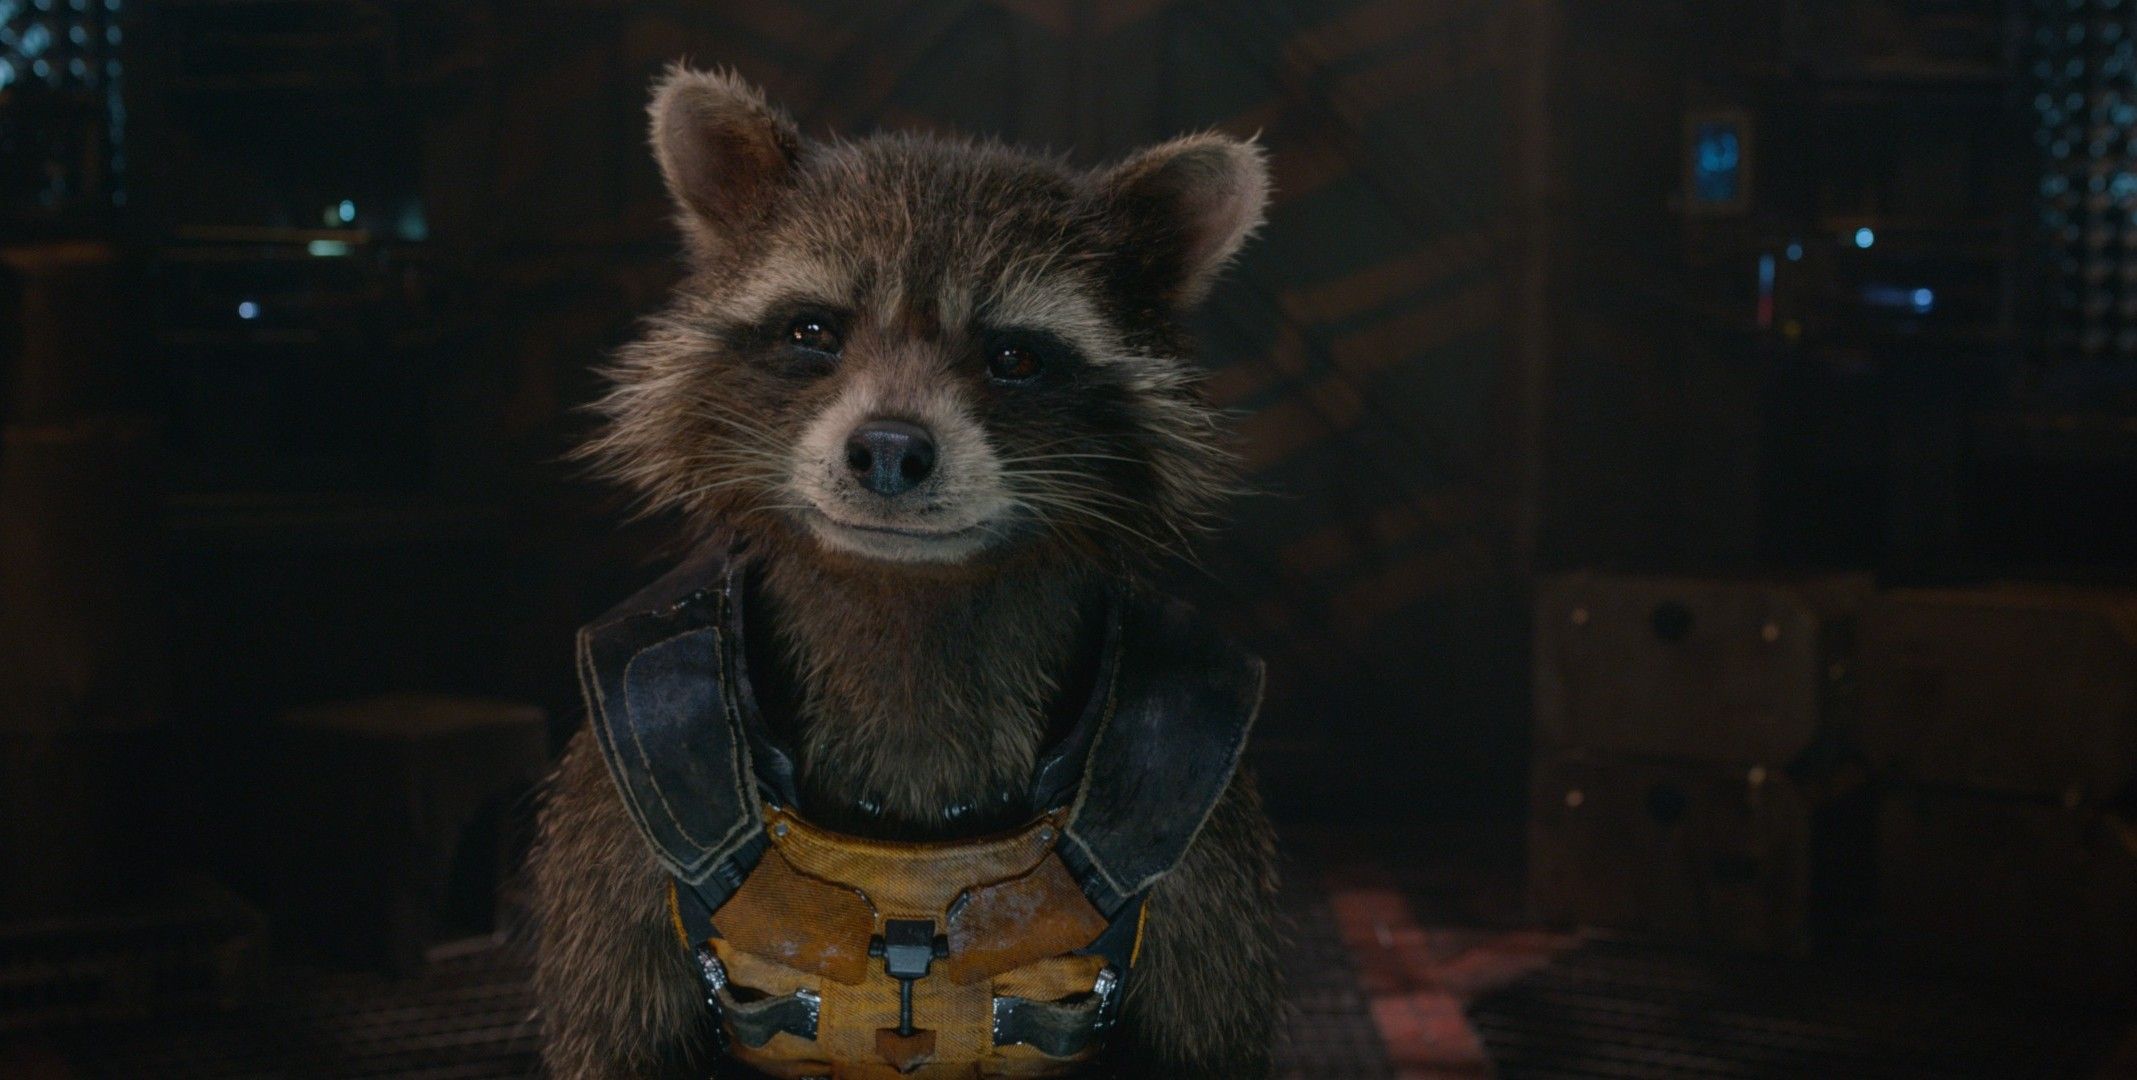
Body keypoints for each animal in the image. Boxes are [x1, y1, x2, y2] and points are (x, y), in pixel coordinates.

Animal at [530, 68, 1281, 1078]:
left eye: (1014, 356)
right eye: (813, 329)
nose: (888, 448)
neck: (906, 599)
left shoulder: (1202, 824)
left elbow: (1210, 1037)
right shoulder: (619, 801)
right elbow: (610, 1036)